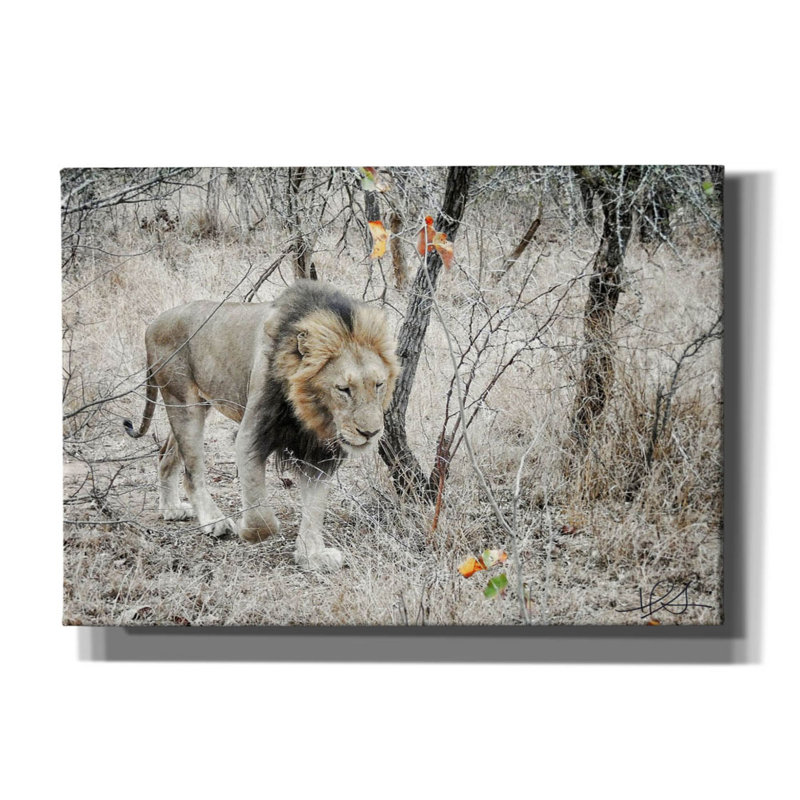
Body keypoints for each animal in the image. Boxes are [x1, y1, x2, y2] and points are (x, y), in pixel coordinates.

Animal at [123, 280, 399, 571]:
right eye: (343, 389)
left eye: (378, 385)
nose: (370, 433)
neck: (311, 412)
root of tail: (153, 323)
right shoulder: (251, 434)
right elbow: (261, 514)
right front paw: (249, 530)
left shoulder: (320, 452)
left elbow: (315, 508)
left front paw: (312, 555)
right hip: (183, 404)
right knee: (192, 471)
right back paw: (214, 520)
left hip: (197, 404)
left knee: (165, 455)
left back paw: (171, 509)